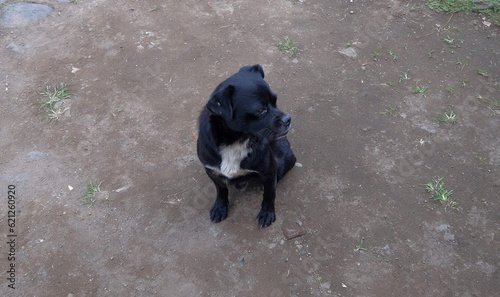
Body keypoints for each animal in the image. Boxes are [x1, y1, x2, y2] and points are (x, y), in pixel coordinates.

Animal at [196, 65, 296, 227]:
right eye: (260, 110)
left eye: (275, 101)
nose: (288, 119)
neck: (237, 141)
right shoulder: (212, 171)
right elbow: (221, 190)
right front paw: (220, 207)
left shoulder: (270, 170)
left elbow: (269, 194)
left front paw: (267, 213)